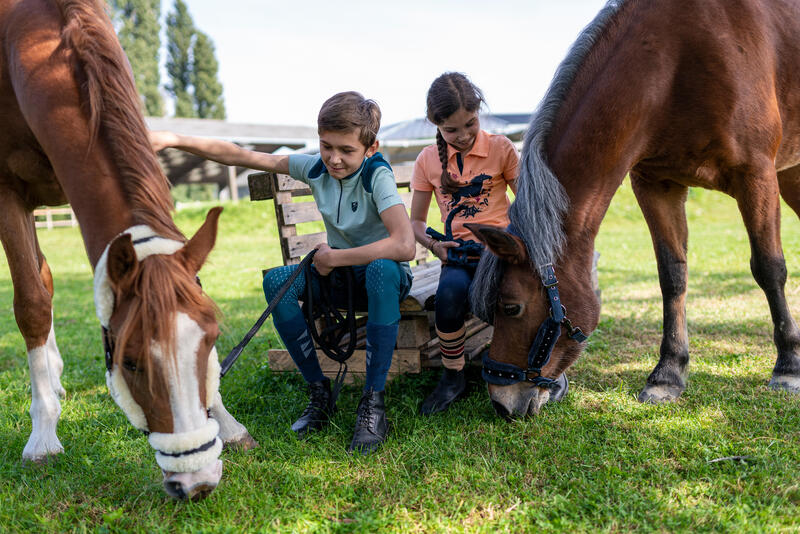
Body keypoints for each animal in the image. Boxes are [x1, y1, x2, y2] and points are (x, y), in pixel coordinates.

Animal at [0, 0, 255, 500]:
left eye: (212, 338)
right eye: (131, 362)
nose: (196, 481)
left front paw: (229, 423)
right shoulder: (6, 194)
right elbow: (32, 305)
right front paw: (42, 438)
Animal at [468, 0, 800, 418]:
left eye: (511, 307)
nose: (501, 404)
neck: (677, 58)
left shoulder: (756, 175)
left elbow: (770, 269)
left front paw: (788, 365)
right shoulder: (656, 184)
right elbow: (672, 276)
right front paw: (668, 374)